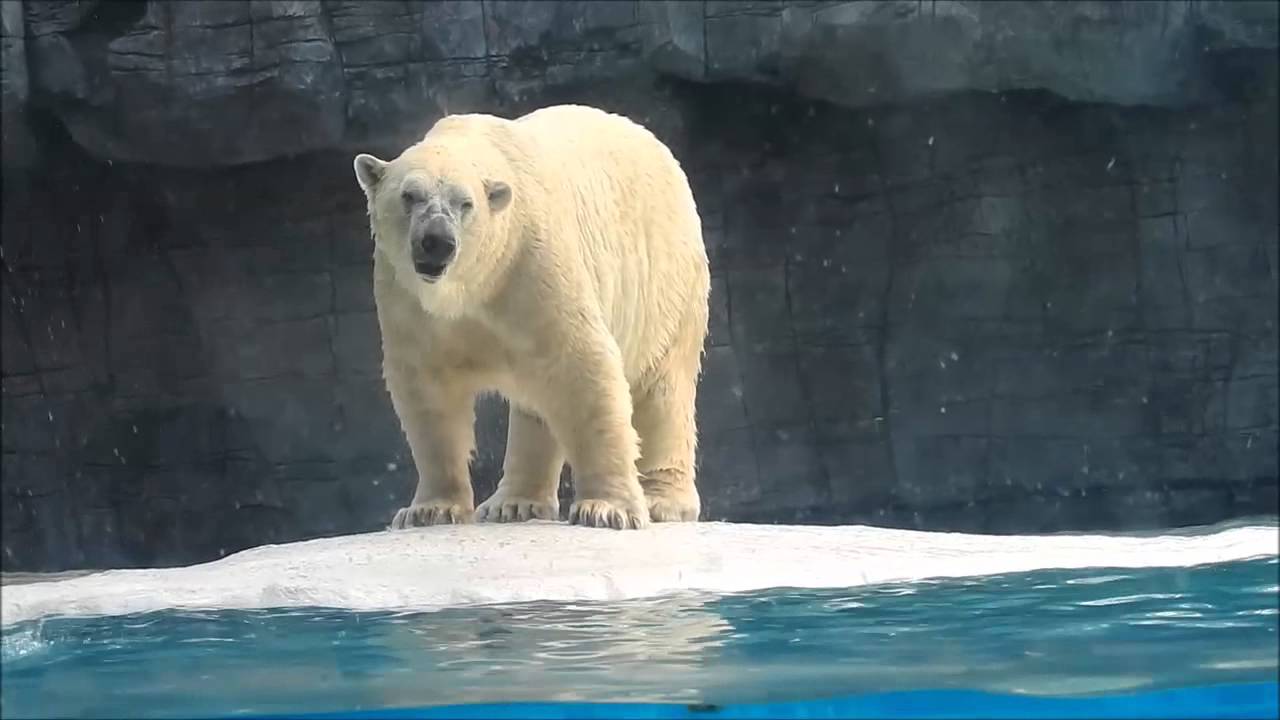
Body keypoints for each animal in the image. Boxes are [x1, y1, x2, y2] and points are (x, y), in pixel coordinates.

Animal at [352, 104, 711, 530]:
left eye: (465, 203)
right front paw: (429, 510)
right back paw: (513, 504)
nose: (437, 242)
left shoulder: (532, 261)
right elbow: (427, 390)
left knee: (662, 389)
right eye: (410, 196)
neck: (476, 283)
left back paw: (663, 501)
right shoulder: (406, 298)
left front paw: (607, 509)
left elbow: (583, 366)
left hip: (666, 286)